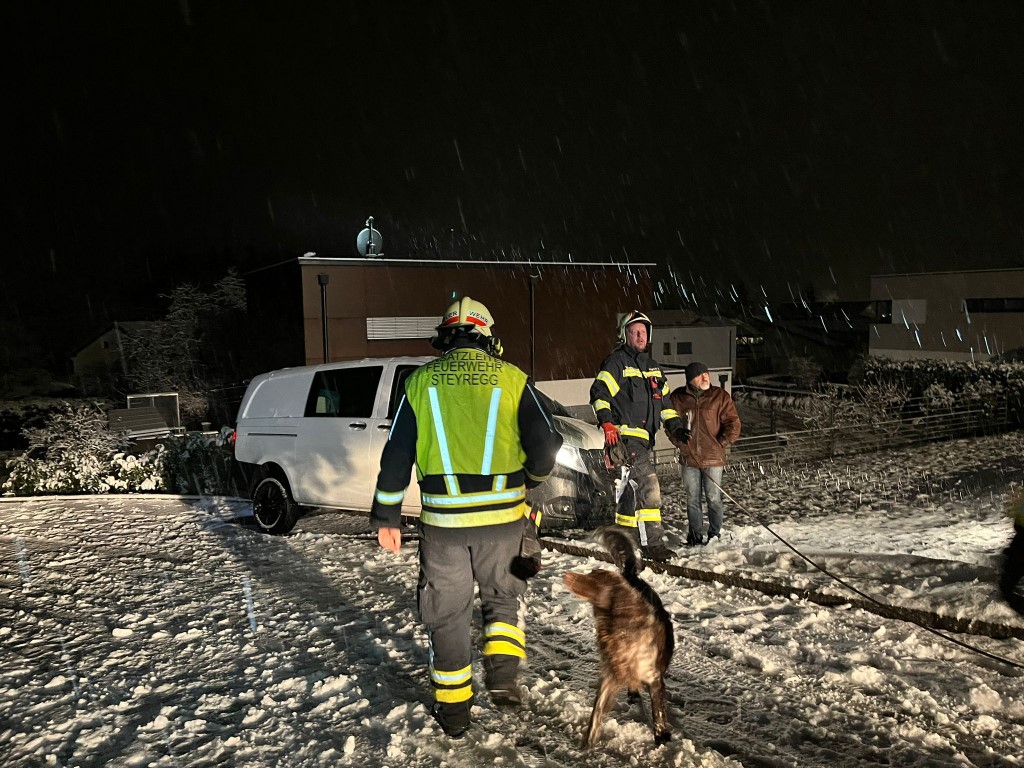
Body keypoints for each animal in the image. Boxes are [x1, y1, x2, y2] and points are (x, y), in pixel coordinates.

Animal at [563, 527, 675, 747]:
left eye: (591, 579)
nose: (565, 574)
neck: (620, 629)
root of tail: (629, 575)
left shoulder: (654, 678)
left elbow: (657, 713)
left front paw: (661, 737)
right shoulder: (609, 676)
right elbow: (595, 715)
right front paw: (586, 745)